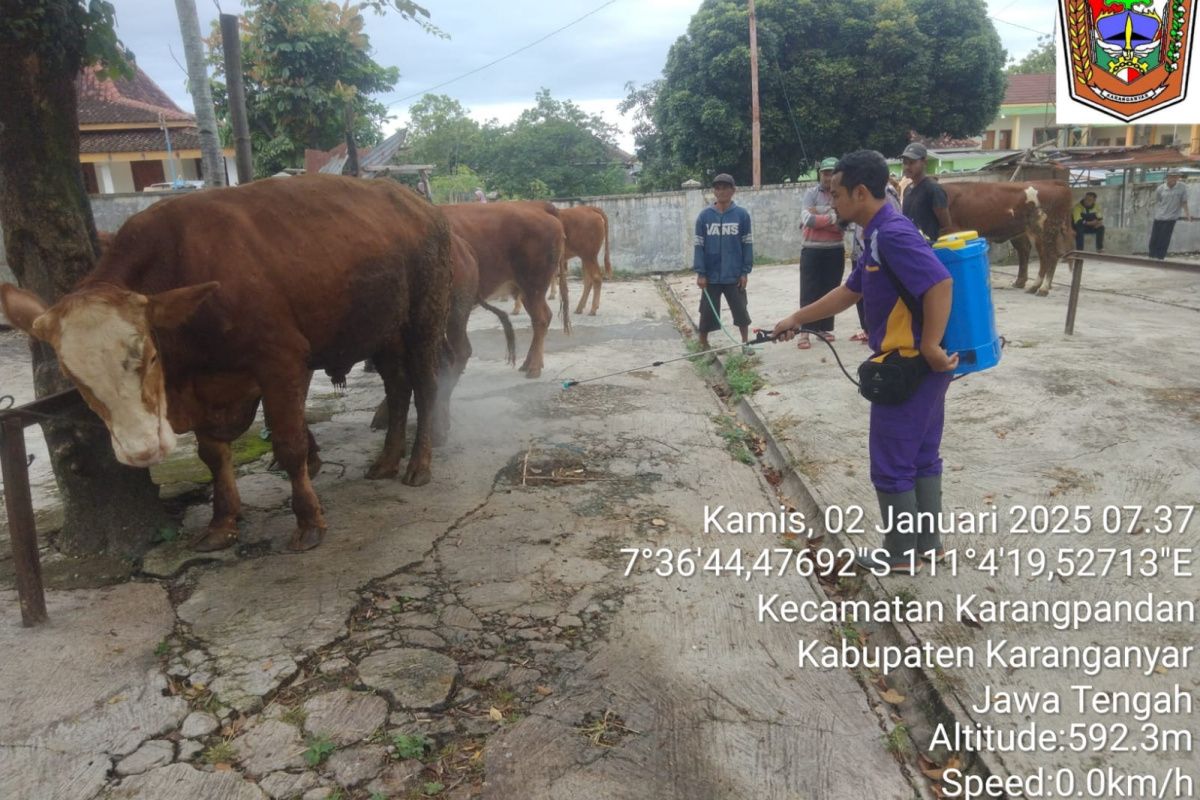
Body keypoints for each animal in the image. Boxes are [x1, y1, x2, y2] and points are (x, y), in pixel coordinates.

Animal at [1, 173, 451, 551]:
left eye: (150, 356)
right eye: (73, 377)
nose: (142, 450)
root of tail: (420, 205)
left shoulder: (281, 362)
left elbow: (290, 445)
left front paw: (308, 521)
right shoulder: (204, 388)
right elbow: (213, 455)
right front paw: (222, 522)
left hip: (424, 318)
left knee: (425, 385)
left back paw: (418, 464)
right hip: (383, 331)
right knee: (397, 388)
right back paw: (387, 460)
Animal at [444, 199, 568, 376]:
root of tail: (537, 206)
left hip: (533, 287)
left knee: (541, 318)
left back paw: (534, 368)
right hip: (526, 291)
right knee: (542, 317)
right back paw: (528, 363)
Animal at [940, 179, 1075, 296]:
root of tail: (1051, 182)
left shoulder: (952, 231)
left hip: (1048, 228)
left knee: (1051, 256)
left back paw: (1043, 289)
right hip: (1035, 232)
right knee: (1041, 256)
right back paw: (1033, 286)